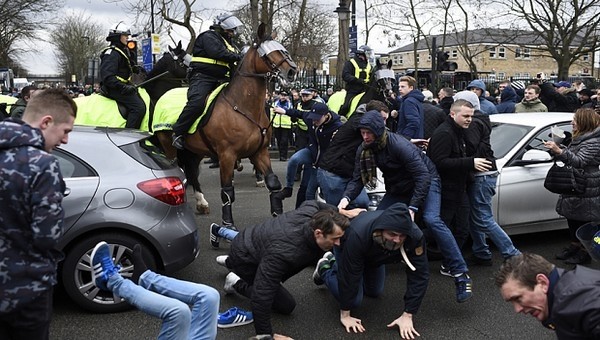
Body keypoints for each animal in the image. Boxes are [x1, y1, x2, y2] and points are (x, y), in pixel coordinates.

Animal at [169, 23, 296, 226]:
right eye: (268, 54)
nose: (292, 71)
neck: (243, 107)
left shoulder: (260, 151)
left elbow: (273, 182)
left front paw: (277, 212)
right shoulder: (227, 155)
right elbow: (227, 191)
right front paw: (228, 223)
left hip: (194, 151)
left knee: (191, 172)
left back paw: (201, 203)